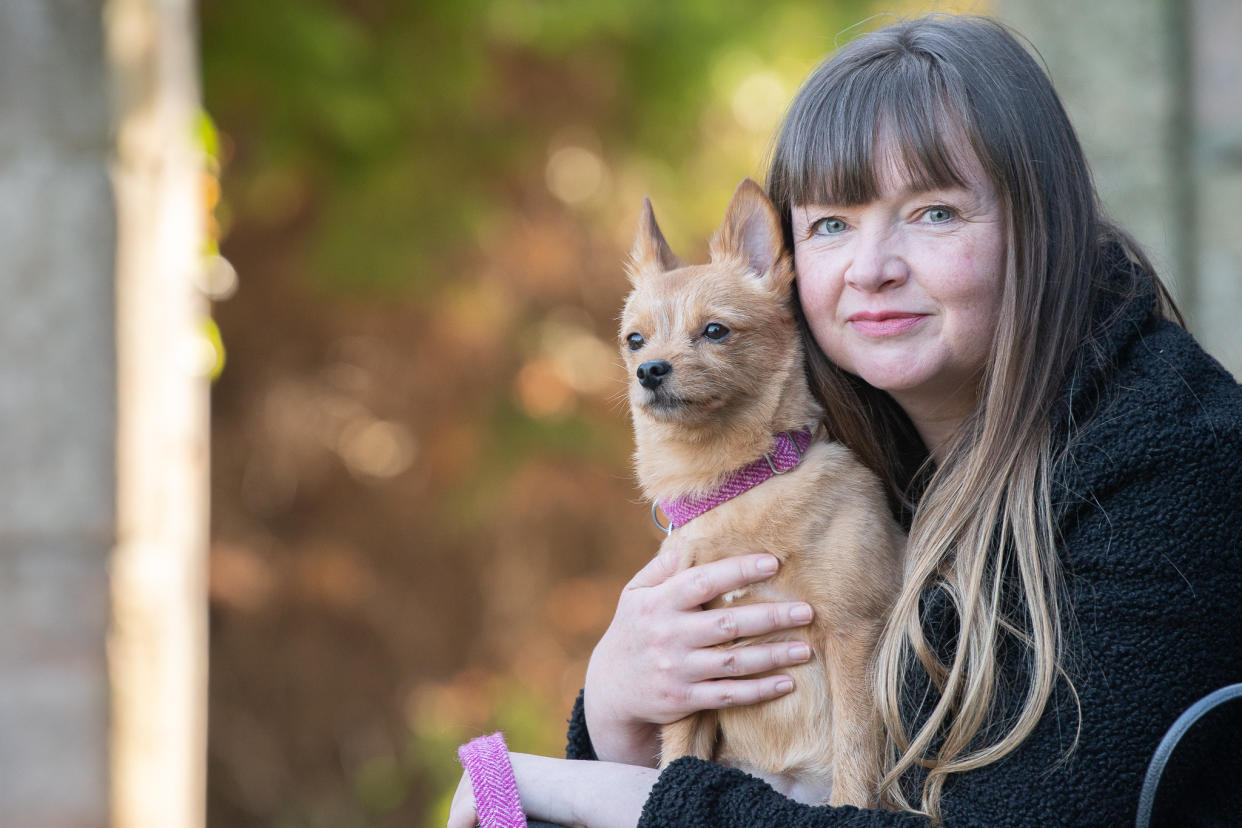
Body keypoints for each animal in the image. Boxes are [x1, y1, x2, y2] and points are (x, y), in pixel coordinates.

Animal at [618, 178, 904, 804]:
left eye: (715, 331)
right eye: (633, 340)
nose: (649, 369)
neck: (734, 484)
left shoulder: (853, 634)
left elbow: (856, 757)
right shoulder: (691, 676)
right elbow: (677, 757)